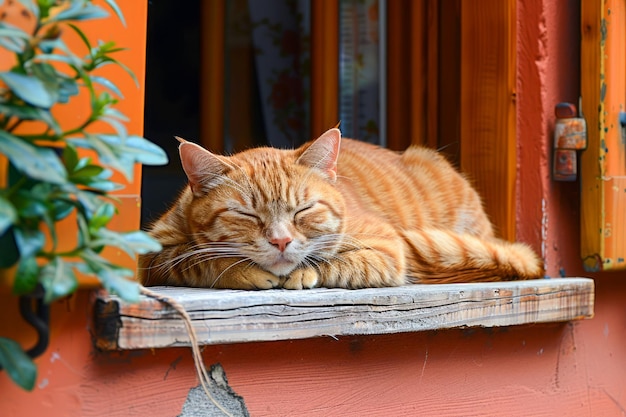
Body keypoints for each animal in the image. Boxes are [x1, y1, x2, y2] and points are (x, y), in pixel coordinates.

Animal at [138, 127, 540, 290]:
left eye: (302, 211)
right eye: (247, 215)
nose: (281, 241)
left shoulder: (388, 250)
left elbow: (337, 263)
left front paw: (302, 272)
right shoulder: (154, 254)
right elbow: (201, 260)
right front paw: (244, 271)